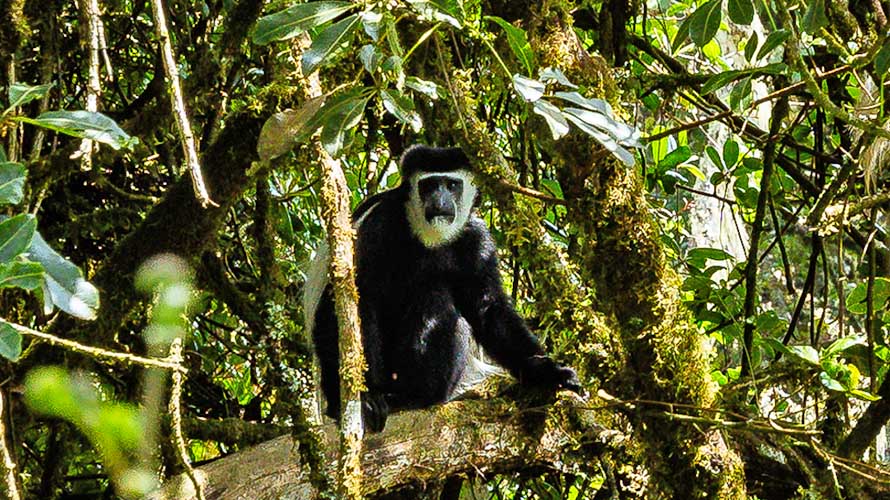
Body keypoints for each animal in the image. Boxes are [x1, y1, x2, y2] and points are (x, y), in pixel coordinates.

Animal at [306, 146, 580, 434]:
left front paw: (550, 372)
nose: (439, 201)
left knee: (440, 303)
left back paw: (414, 396)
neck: (429, 236)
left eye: (451, 185)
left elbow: (489, 310)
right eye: (428, 185)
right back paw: (375, 397)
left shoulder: (477, 240)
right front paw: (360, 398)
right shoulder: (377, 228)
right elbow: (343, 303)